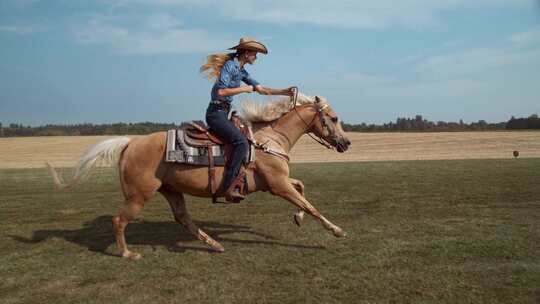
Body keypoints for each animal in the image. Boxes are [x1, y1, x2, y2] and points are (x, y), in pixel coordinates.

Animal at [46, 94, 350, 260]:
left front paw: (297, 219)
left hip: (170, 190)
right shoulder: (277, 184)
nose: (346, 143)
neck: (267, 139)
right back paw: (127, 253)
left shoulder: (277, 183)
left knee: (183, 219)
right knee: (119, 220)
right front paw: (337, 230)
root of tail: (131, 142)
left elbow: (302, 190)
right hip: (138, 196)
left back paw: (214, 244)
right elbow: (310, 205)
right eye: (334, 118)